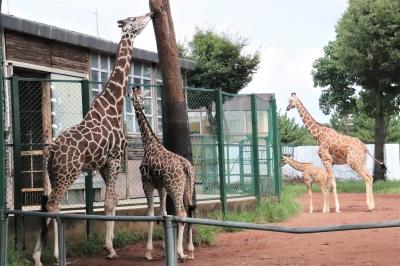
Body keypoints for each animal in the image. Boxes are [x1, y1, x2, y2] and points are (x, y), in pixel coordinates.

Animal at [32, 13, 154, 266]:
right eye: (135, 19)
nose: (150, 14)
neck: (114, 104)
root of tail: (51, 151)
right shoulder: (115, 159)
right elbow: (108, 201)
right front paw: (110, 248)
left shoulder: (104, 164)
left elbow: (113, 200)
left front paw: (110, 242)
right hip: (68, 173)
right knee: (54, 204)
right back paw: (56, 254)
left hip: (54, 175)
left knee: (47, 204)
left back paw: (37, 256)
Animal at [129, 88, 196, 262]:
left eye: (134, 97)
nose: (142, 106)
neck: (149, 142)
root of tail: (186, 167)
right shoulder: (161, 187)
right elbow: (163, 213)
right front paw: (165, 249)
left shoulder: (146, 183)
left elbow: (151, 213)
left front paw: (148, 252)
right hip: (187, 188)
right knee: (190, 211)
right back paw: (190, 250)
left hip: (175, 188)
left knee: (182, 213)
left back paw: (181, 252)